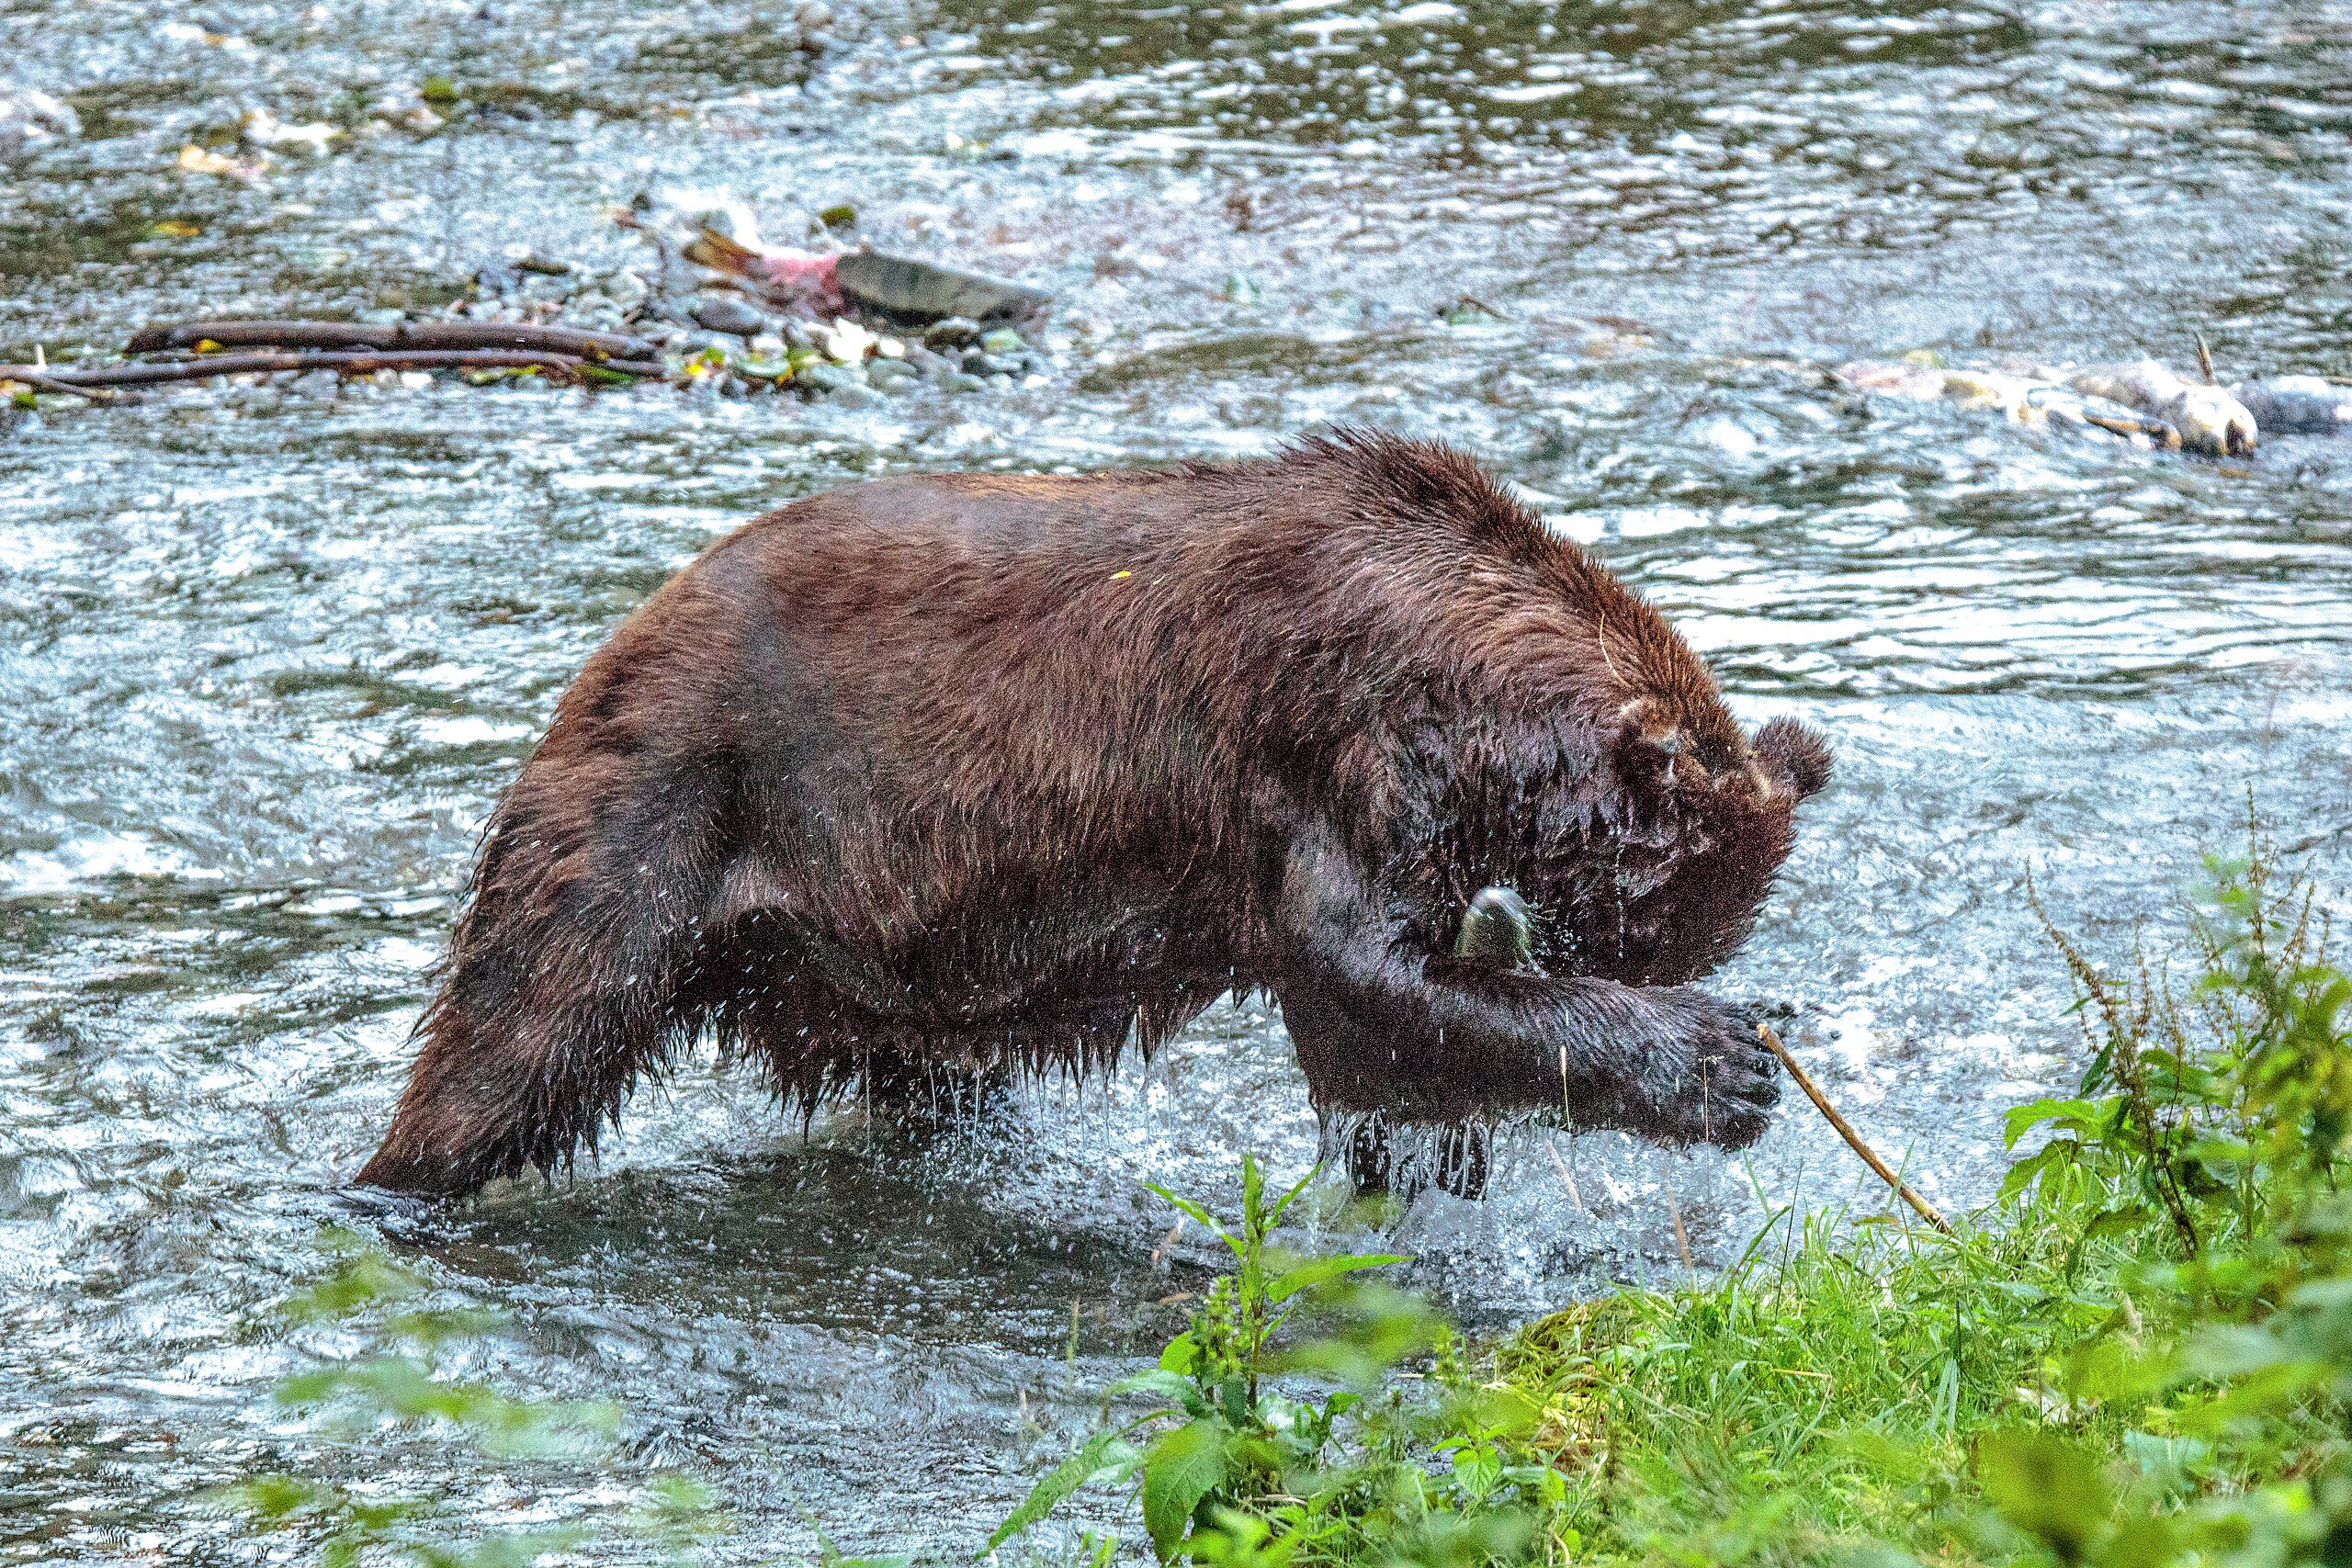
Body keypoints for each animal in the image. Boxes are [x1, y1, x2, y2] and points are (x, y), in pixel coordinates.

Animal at [357, 434, 1825, 1194]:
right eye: (1631, 938)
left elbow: (1389, 1039)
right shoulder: (1326, 762)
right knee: (520, 1039)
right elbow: (1365, 983)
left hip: (851, 955)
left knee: (930, 1082)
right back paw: (395, 1190)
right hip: (675, 802)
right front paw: (1723, 1063)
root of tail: (614, 638)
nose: (1645, 973)